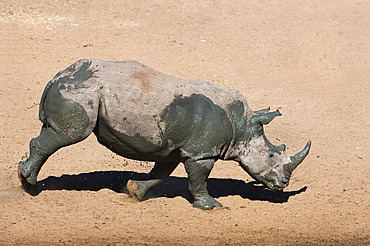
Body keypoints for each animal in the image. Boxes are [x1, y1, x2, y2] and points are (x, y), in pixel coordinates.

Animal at [18, 59, 310, 209]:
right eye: (272, 155)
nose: (284, 184)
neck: (241, 124)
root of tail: (57, 75)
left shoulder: (173, 147)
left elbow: (160, 174)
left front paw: (134, 191)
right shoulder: (202, 152)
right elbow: (199, 180)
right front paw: (211, 206)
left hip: (77, 89)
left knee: (53, 131)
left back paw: (27, 179)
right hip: (81, 91)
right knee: (69, 135)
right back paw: (29, 183)